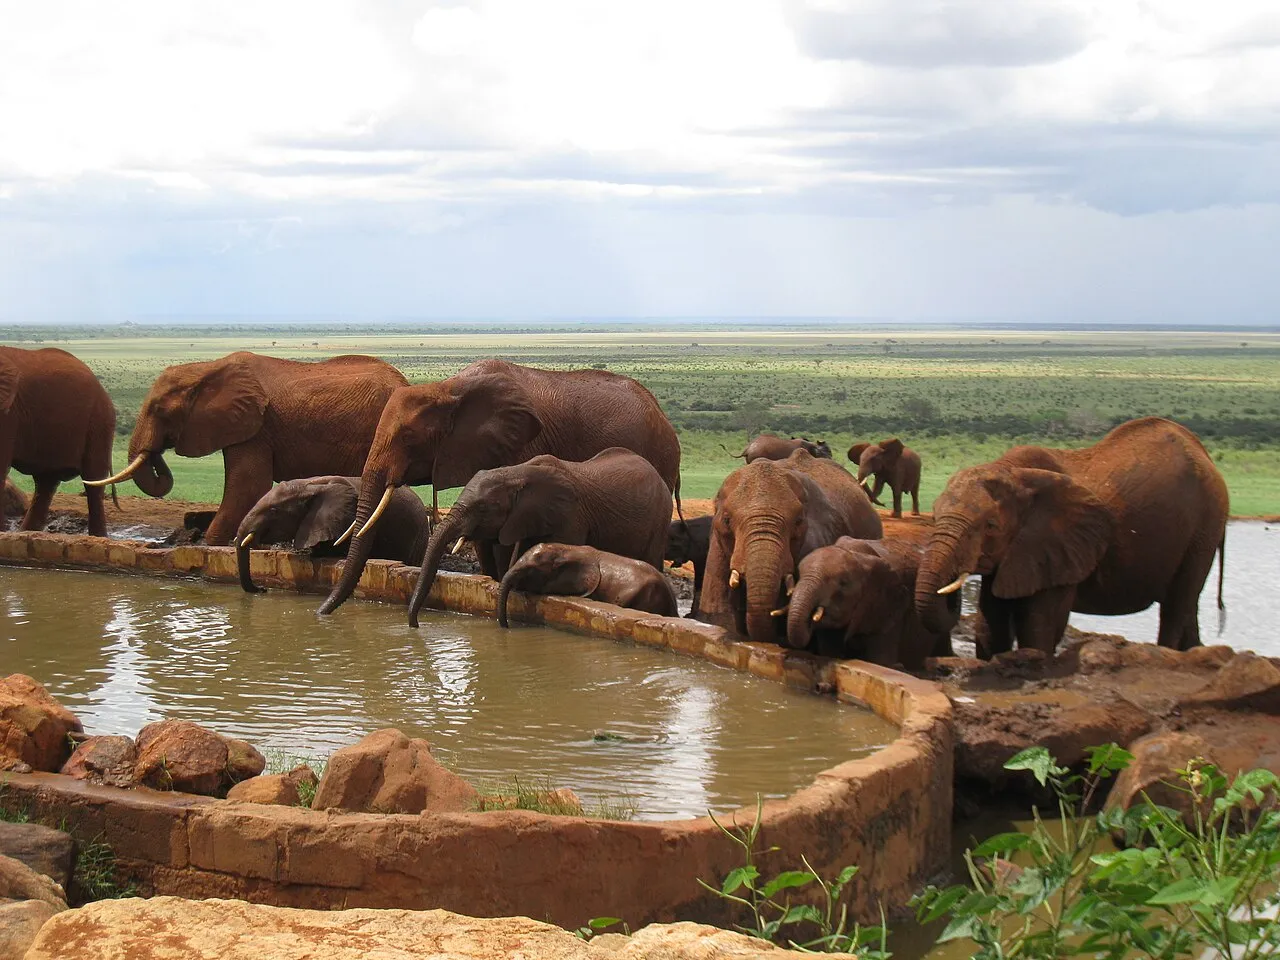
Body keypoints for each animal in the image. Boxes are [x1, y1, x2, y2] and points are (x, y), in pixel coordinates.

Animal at [1, 347, 116, 536]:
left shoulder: (8, 415)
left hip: (99, 421)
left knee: (93, 481)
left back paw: (98, 537)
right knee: (46, 482)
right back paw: (26, 533)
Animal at [90, 352, 407, 546]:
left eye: (158, 410)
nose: (159, 450)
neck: (205, 368)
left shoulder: (256, 426)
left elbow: (248, 485)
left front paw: (214, 545)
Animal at [786, 537, 955, 668]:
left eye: (843, 583)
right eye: (798, 575)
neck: (859, 557)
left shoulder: (887, 610)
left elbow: (880, 661)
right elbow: (830, 651)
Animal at [914, 417, 1229, 656]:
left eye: (990, 525)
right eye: (935, 516)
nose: (951, 596)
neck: (1011, 471)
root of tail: (1204, 454)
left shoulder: (1057, 548)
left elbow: (1037, 625)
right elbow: (991, 624)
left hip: (1205, 526)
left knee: (1178, 604)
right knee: (1187, 608)